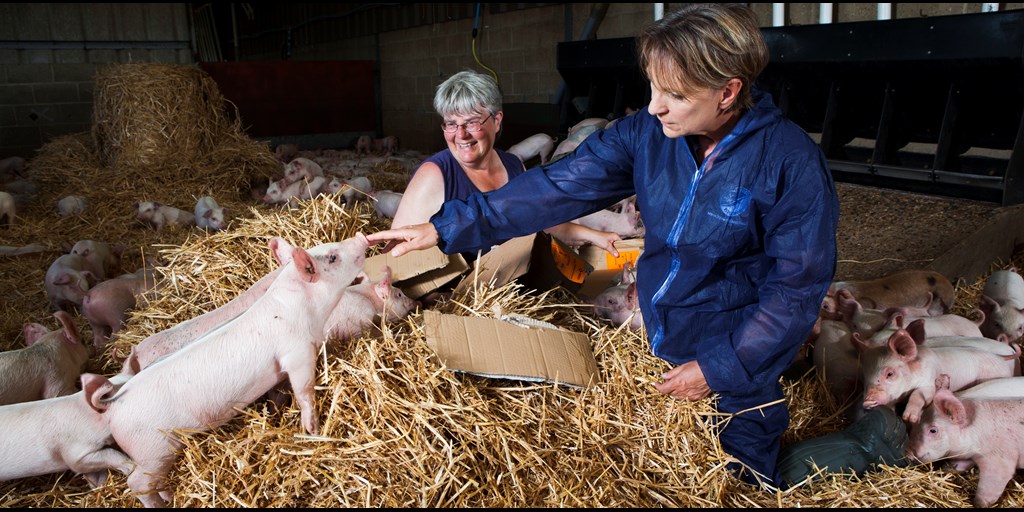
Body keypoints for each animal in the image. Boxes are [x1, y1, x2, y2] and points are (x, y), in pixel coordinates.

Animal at [101, 234, 369, 507]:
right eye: (333, 257)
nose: (361, 237)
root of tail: (112, 410)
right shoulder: (297, 351)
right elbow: (304, 389)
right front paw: (312, 429)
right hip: (153, 447)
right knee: (137, 482)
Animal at [858, 319, 1020, 423]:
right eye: (865, 375)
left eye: (890, 373)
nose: (867, 402)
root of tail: (999, 357)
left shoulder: (928, 382)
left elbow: (920, 395)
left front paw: (910, 418)